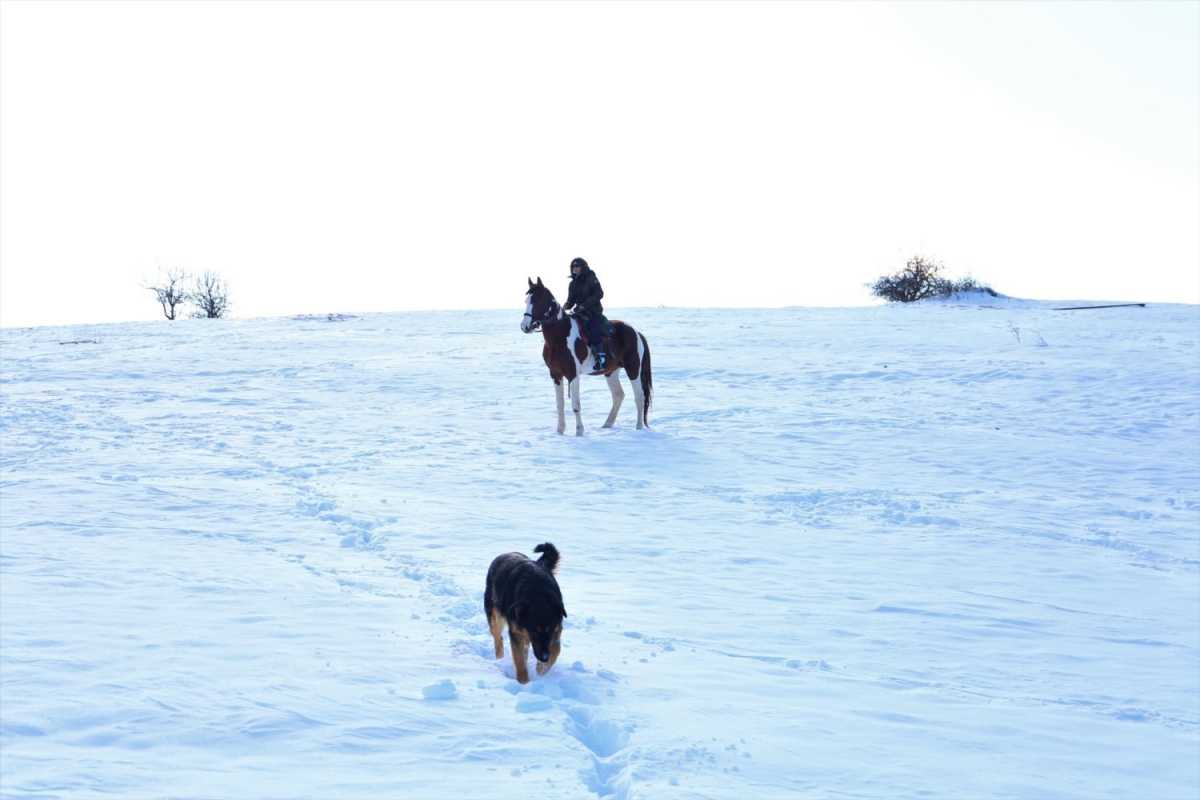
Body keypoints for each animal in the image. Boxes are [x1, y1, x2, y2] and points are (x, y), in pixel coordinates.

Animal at [482, 542, 566, 686]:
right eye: (534, 631)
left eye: (549, 630)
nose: (544, 657)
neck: (538, 595)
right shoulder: (517, 632)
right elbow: (520, 660)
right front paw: (524, 683)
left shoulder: (556, 630)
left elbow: (556, 651)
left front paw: (541, 669)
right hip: (495, 615)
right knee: (498, 638)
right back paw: (499, 659)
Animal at [520, 277, 652, 438]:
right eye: (526, 300)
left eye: (538, 300)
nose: (525, 326)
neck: (559, 337)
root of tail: (636, 332)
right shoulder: (555, 374)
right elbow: (560, 405)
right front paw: (560, 432)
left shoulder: (573, 374)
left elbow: (576, 405)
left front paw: (579, 432)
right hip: (611, 372)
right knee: (618, 395)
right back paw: (607, 424)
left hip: (633, 368)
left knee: (639, 396)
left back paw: (638, 427)